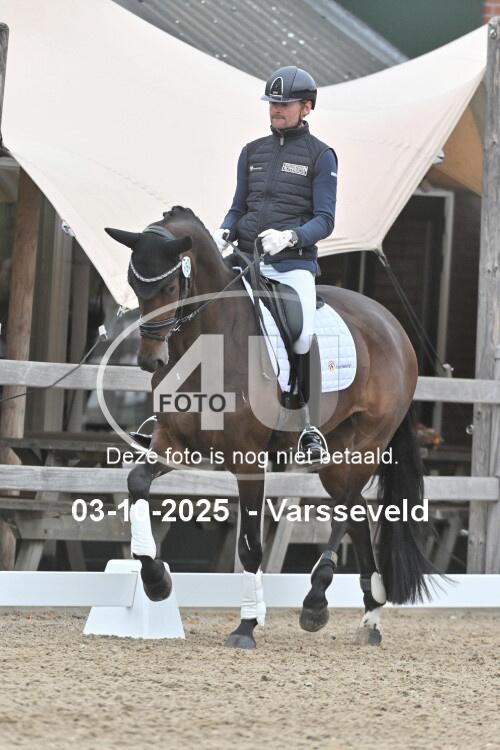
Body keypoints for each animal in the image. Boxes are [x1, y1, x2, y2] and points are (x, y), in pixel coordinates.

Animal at [105, 205, 433, 649]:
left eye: (172, 284)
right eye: (133, 284)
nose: (149, 360)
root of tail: (392, 325)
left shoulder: (248, 460)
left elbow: (250, 547)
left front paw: (246, 626)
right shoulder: (173, 442)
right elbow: (137, 482)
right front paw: (156, 580)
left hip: (368, 441)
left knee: (348, 508)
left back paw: (316, 601)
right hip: (336, 454)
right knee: (355, 510)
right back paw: (371, 617)